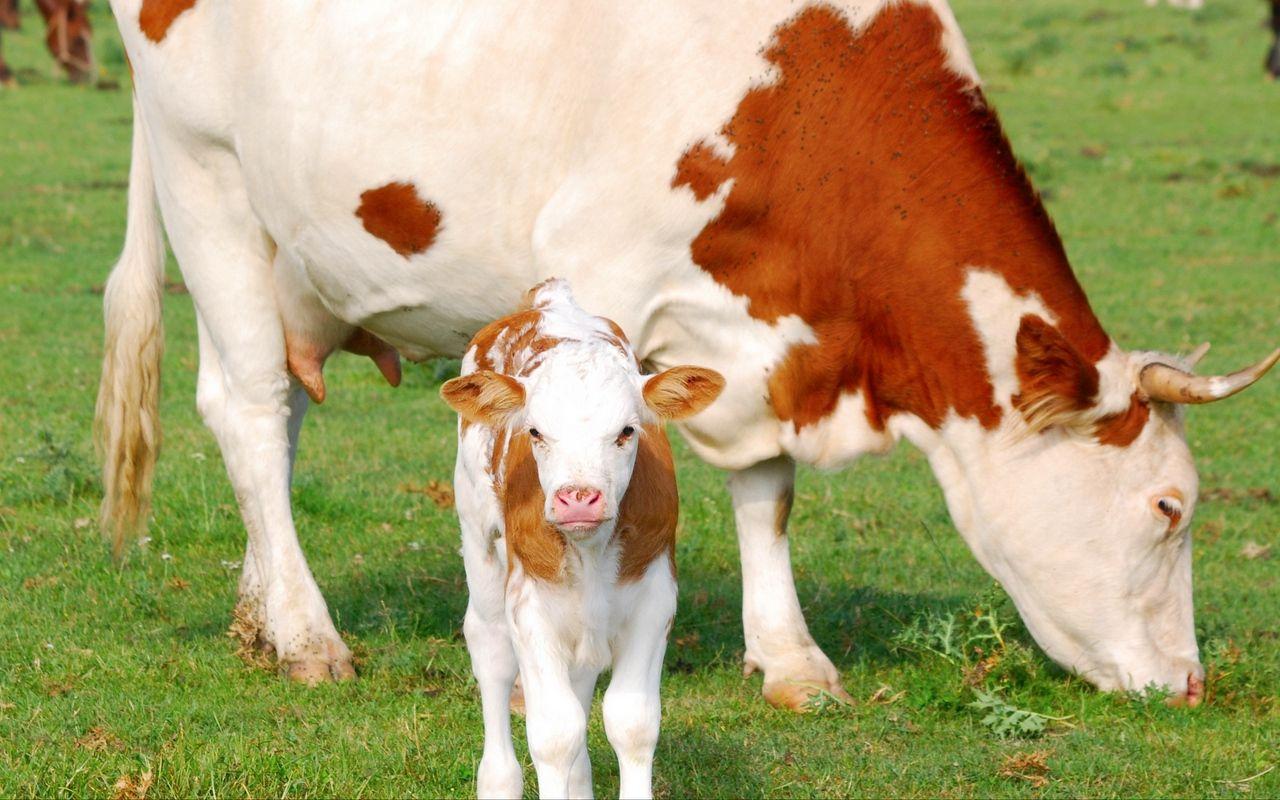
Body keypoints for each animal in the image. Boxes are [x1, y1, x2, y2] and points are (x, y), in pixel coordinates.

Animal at [97, 0, 1278, 710]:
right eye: (1168, 507)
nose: (1188, 683)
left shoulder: (764, 341)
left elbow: (767, 490)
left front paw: (791, 658)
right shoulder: (596, 270)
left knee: (279, 419)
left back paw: (259, 612)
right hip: (208, 179)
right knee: (249, 409)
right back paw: (305, 634)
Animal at [440, 279, 723, 800]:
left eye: (627, 431)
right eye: (535, 432)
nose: (578, 498)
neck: (591, 551)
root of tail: (549, 299)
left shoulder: (655, 596)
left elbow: (632, 721)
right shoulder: (528, 602)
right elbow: (555, 732)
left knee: (583, 673)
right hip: (478, 537)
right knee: (491, 652)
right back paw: (498, 781)